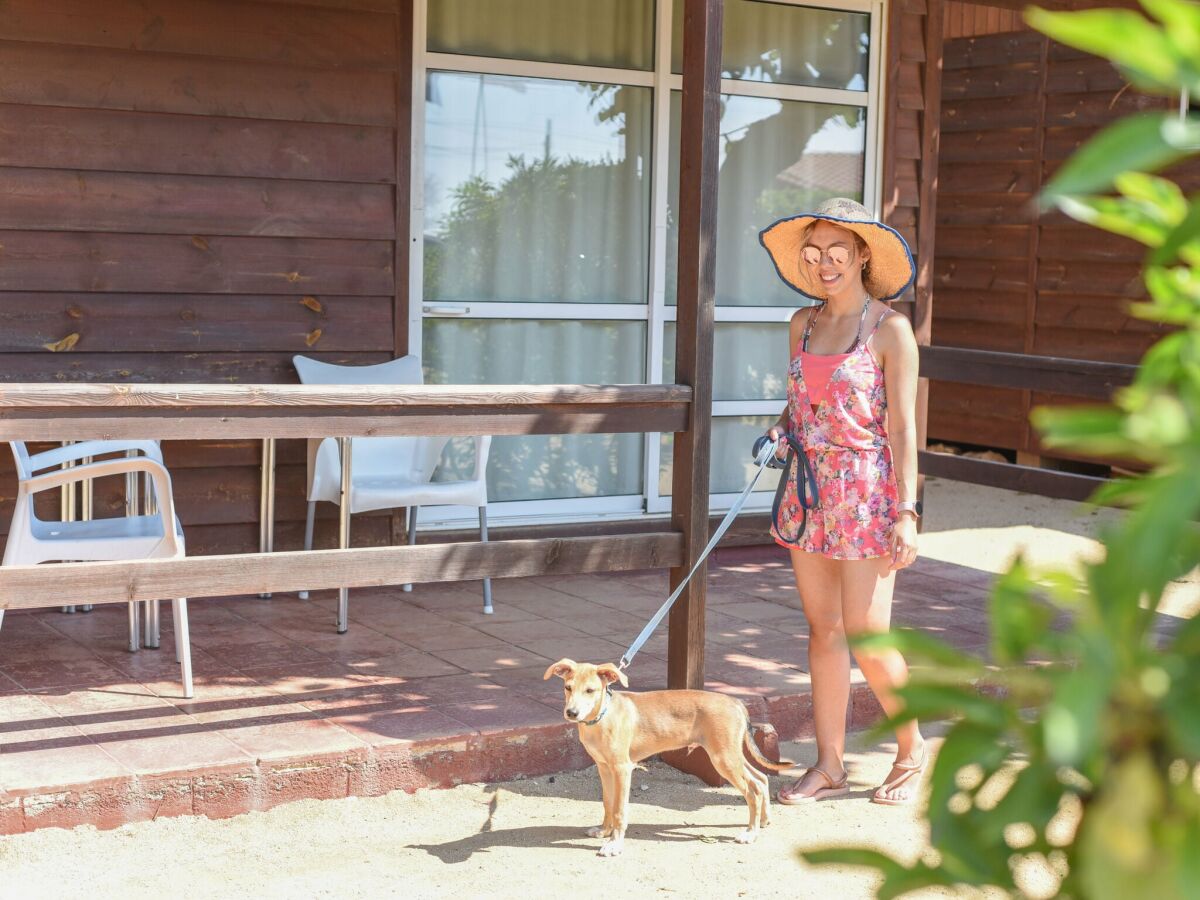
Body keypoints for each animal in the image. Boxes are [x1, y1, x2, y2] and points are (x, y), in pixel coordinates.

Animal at [542, 657, 787, 854]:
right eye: (568, 687)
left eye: (590, 690)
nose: (571, 713)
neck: (603, 716)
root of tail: (736, 702)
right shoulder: (604, 768)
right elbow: (607, 803)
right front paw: (604, 830)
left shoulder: (622, 769)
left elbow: (619, 810)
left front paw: (614, 844)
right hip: (730, 755)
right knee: (760, 779)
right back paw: (763, 821)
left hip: (723, 758)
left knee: (752, 791)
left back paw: (750, 833)